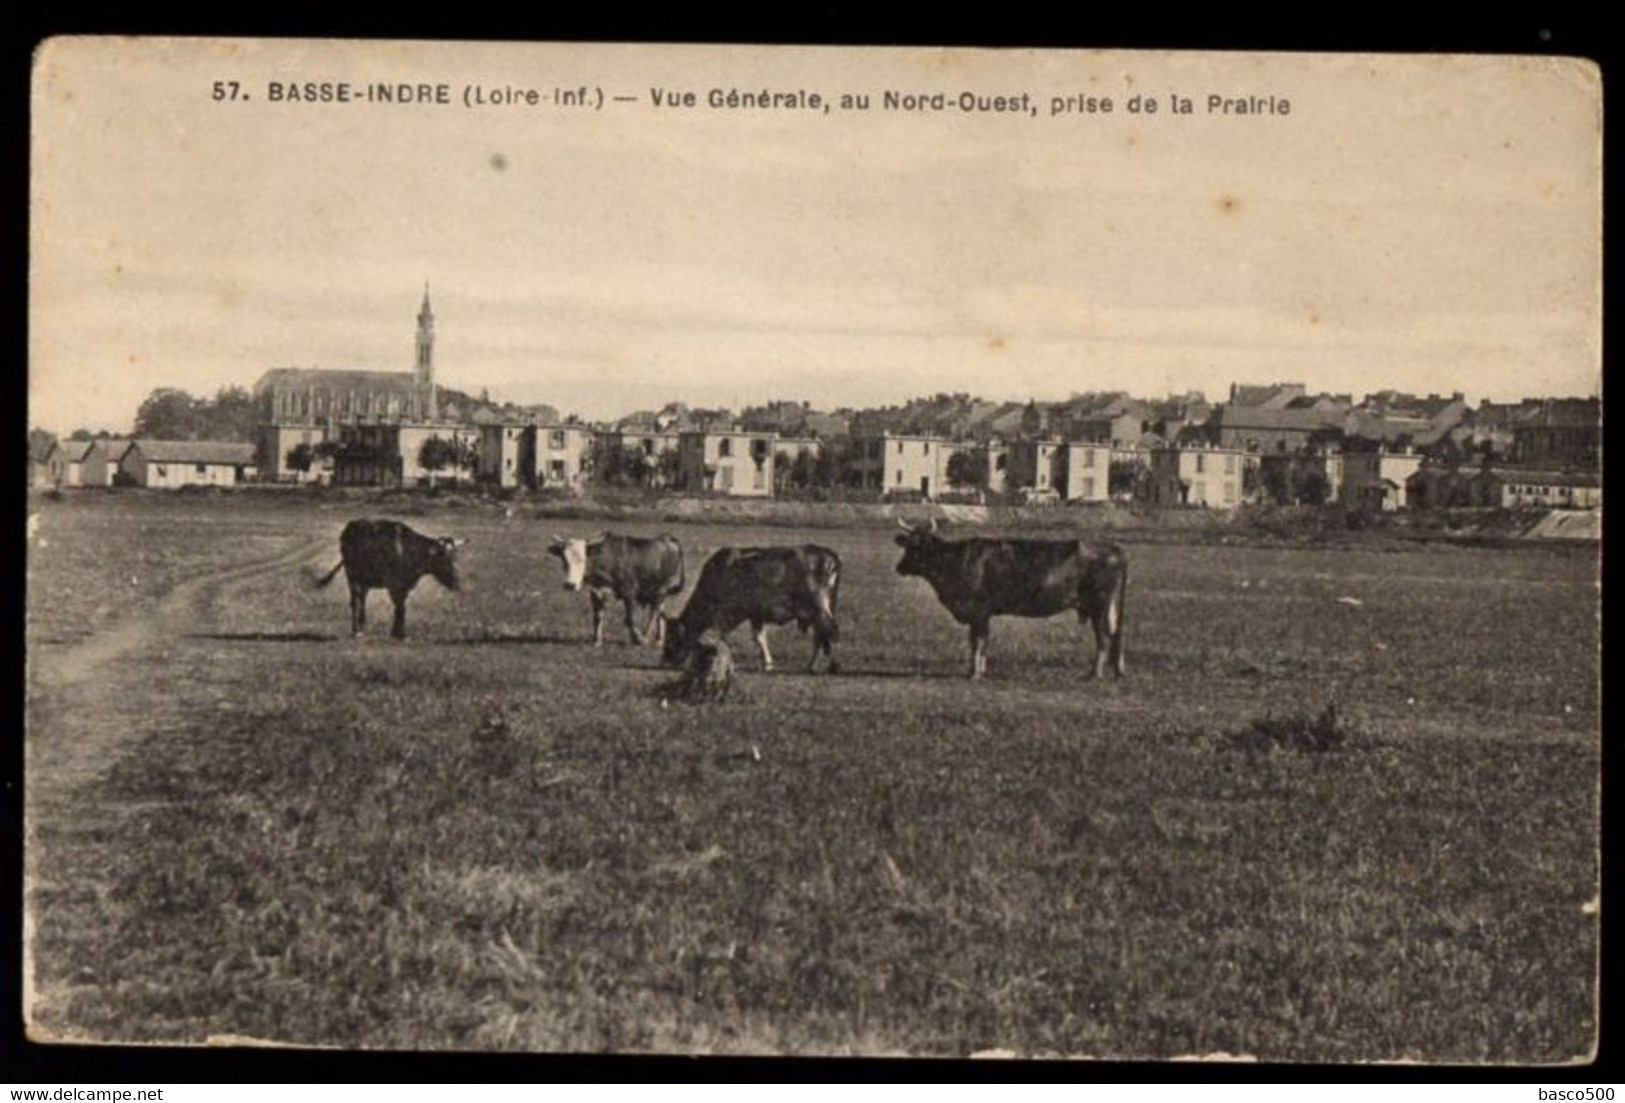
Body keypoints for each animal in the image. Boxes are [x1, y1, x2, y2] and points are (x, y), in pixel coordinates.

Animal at [315, 516, 464, 640]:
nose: (457, 583)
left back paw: (363, 627)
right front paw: (400, 634)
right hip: (352, 576)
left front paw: (397, 633)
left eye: (455, 558)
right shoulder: (394, 585)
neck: (407, 550)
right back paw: (356, 631)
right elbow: (400, 607)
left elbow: (401, 607)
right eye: (443, 559)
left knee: (362, 600)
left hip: (364, 580)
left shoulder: (404, 586)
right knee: (355, 601)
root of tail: (349, 528)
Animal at [546, 532, 685, 646]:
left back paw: (646, 635)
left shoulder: (629, 592)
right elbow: (598, 616)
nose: (570, 584)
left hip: (662, 589)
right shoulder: (596, 591)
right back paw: (659, 639)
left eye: (583, 559)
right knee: (659, 611)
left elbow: (630, 619)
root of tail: (668, 539)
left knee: (654, 611)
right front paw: (597, 640)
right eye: (564, 559)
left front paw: (638, 639)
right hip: (657, 592)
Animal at [659, 542, 845, 672]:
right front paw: (767, 664)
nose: (665, 661)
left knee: (829, 632)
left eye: (672, 639)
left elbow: (723, 636)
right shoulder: (755, 614)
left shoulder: (728, 615)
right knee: (822, 635)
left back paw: (818, 665)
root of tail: (826, 553)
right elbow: (760, 638)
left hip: (820, 609)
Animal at [890, 516, 1131, 682]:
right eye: (908, 543)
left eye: (918, 546)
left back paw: (1094, 673)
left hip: (1099, 604)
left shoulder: (979, 611)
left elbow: (978, 641)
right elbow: (980, 641)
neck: (955, 561)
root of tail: (1114, 547)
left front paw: (975, 673)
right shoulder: (980, 614)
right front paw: (977, 670)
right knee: (1114, 635)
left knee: (1103, 637)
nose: (899, 567)